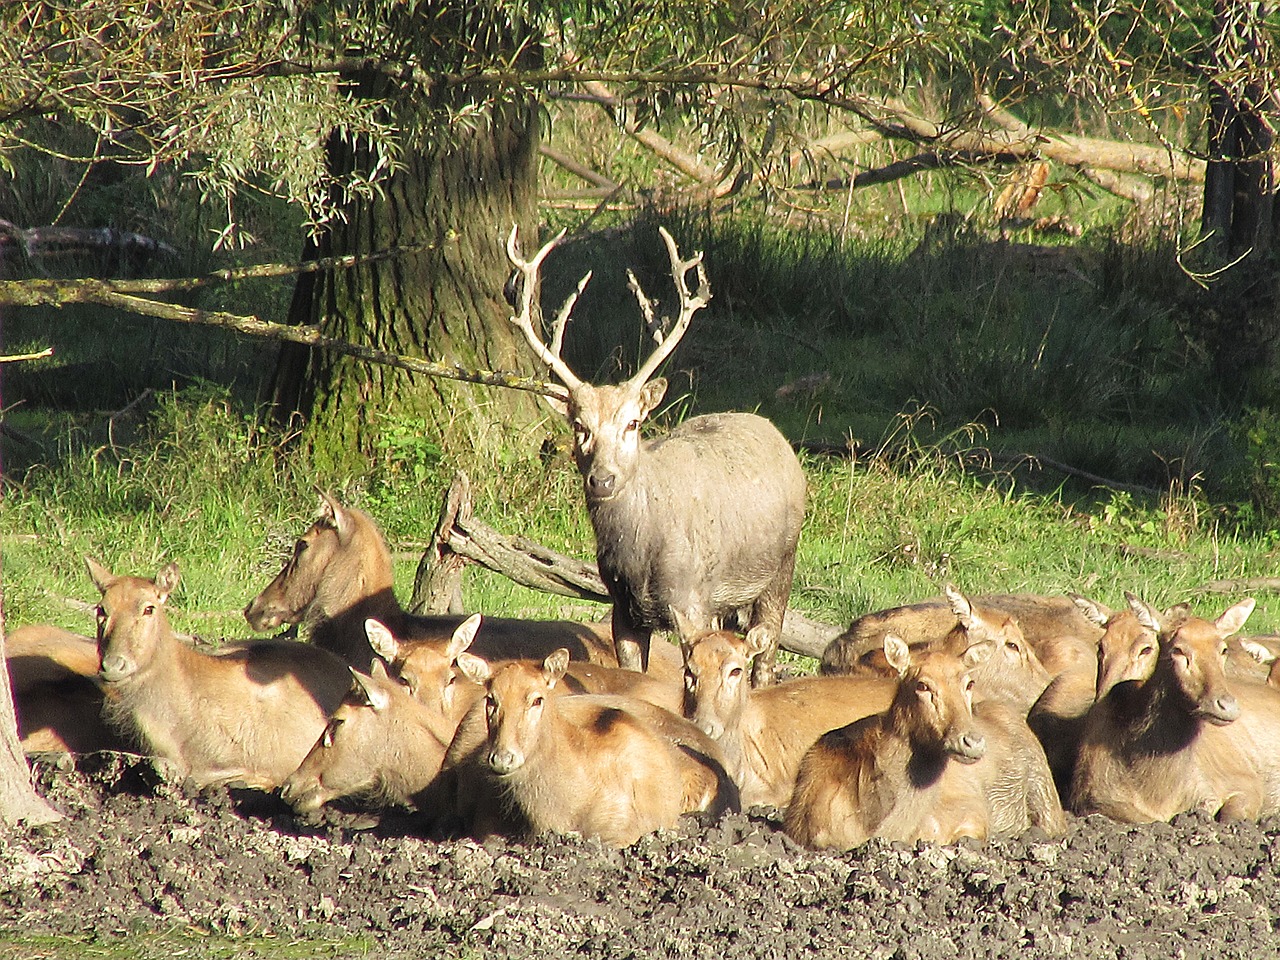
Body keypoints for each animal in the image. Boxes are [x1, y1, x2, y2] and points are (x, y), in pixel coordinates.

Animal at [504, 224, 803, 691]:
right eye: (579, 425)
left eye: (632, 423)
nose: (603, 479)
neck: (641, 557)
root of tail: (773, 430)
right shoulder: (622, 608)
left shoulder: (693, 600)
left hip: (781, 570)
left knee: (765, 656)